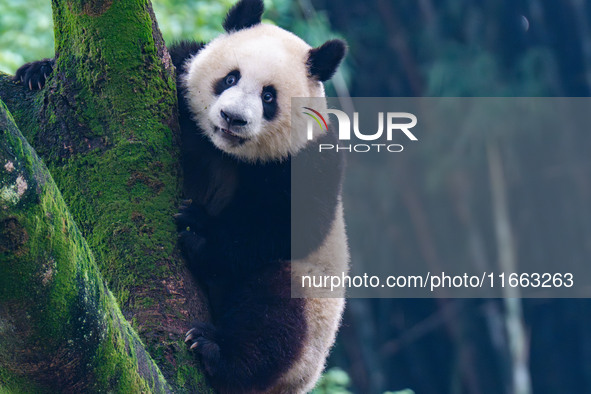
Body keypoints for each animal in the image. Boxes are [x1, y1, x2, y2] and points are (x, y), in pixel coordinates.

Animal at [15, 0, 352, 390]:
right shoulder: (177, 75)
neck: (226, 152)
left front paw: (198, 229)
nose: (232, 118)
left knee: (274, 319)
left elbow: (282, 226)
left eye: (269, 96)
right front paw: (36, 72)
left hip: (310, 308)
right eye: (230, 78)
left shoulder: (308, 159)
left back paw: (217, 351)